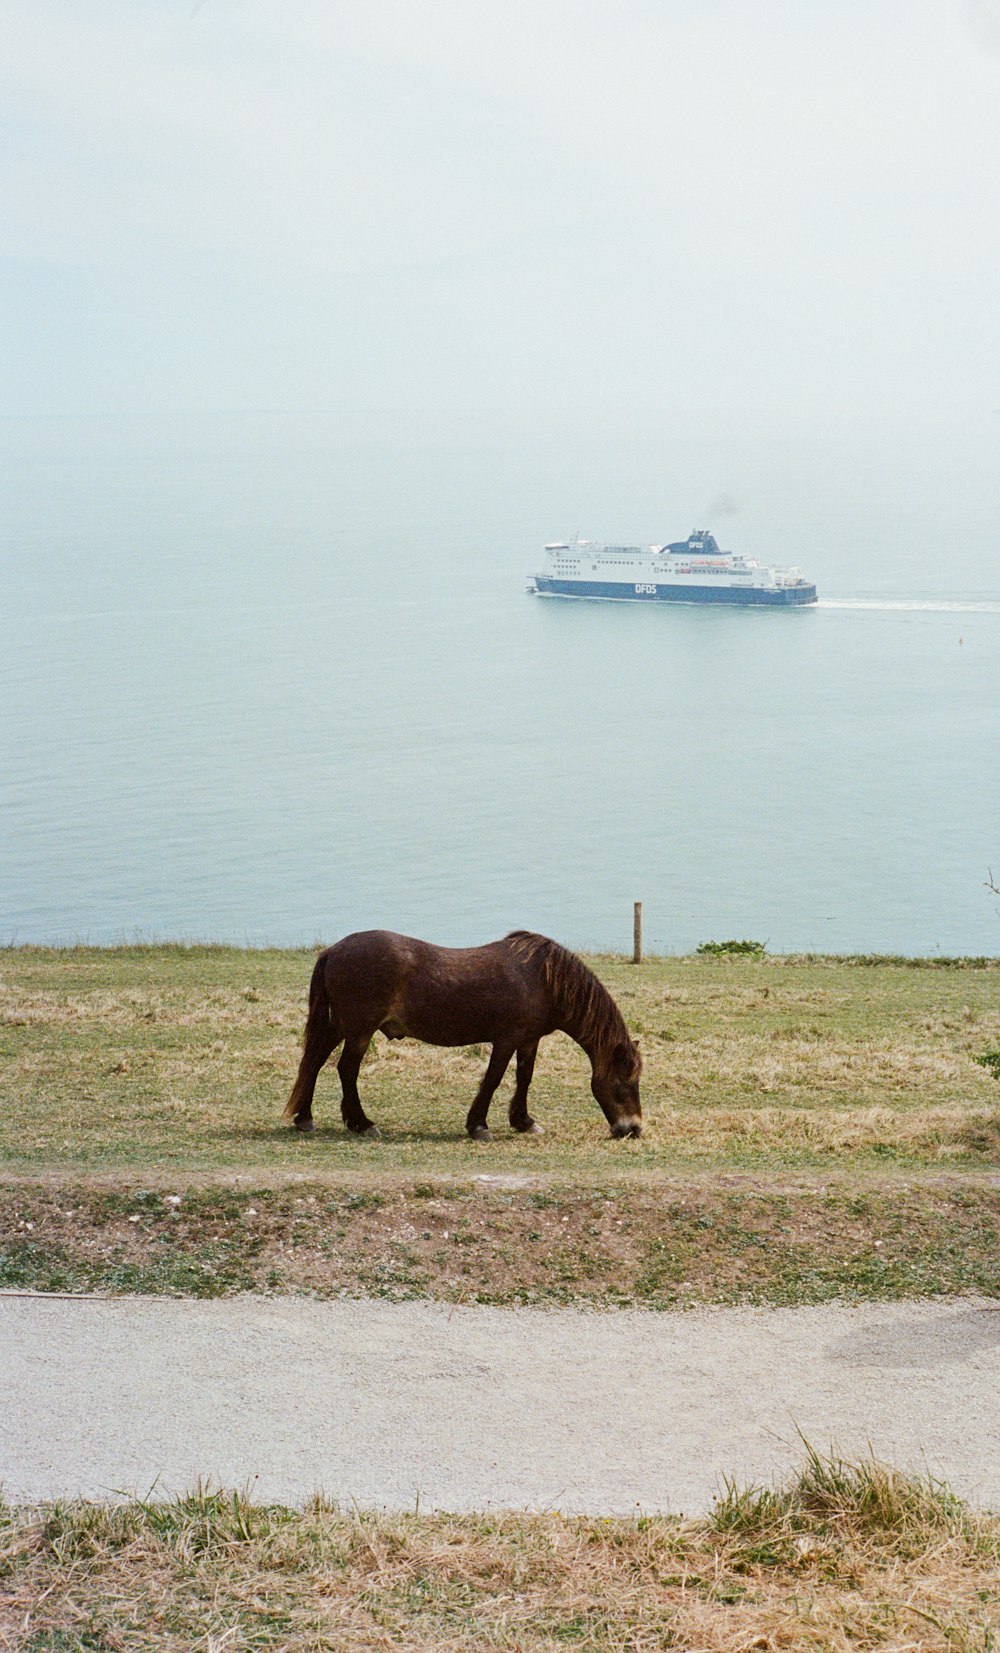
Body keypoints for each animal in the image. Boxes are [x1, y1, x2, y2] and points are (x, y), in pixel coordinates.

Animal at [282, 932, 638, 1150]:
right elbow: (493, 1079)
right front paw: (478, 1125)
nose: (634, 1129)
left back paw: (305, 1118)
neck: (543, 980)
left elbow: (524, 1078)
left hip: (342, 1027)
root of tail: (333, 950)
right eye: (624, 1084)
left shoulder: (528, 1040)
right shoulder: (506, 1039)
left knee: (315, 1060)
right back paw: (361, 1122)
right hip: (359, 1031)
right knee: (346, 1069)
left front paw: (523, 1121)